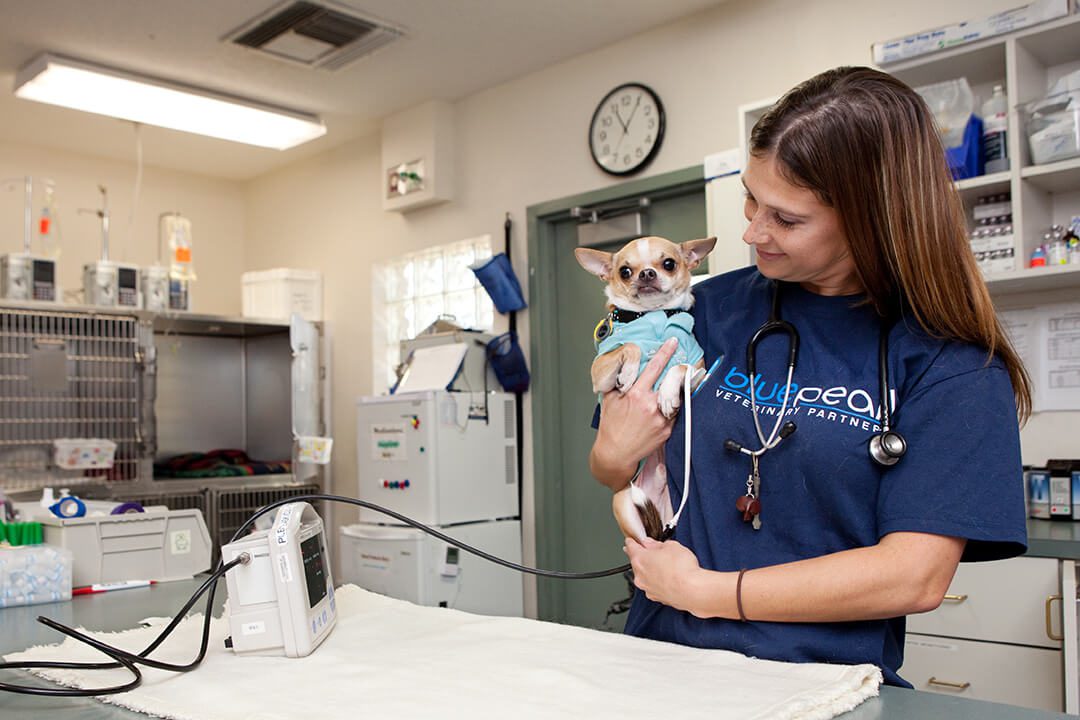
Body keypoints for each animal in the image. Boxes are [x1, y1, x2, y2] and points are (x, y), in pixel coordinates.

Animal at [574, 235, 717, 539]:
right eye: (625, 271)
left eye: (669, 264)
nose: (647, 274)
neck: (653, 316)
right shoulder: (599, 371)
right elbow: (630, 346)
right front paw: (628, 374)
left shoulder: (698, 372)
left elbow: (679, 367)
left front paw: (666, 395)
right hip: (625, 505)